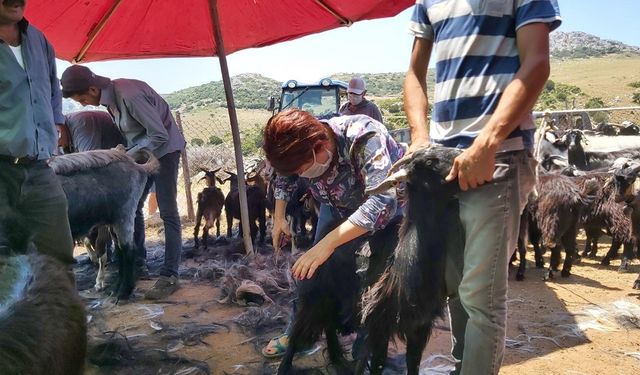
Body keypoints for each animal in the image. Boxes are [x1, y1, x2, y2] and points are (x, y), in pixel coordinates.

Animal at [49, 147, 159, 300]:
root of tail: (136, 166)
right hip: (112, 222)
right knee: (119, 249)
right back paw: (116, 288)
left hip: (124, 215)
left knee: (128, 250)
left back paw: (123, 292)